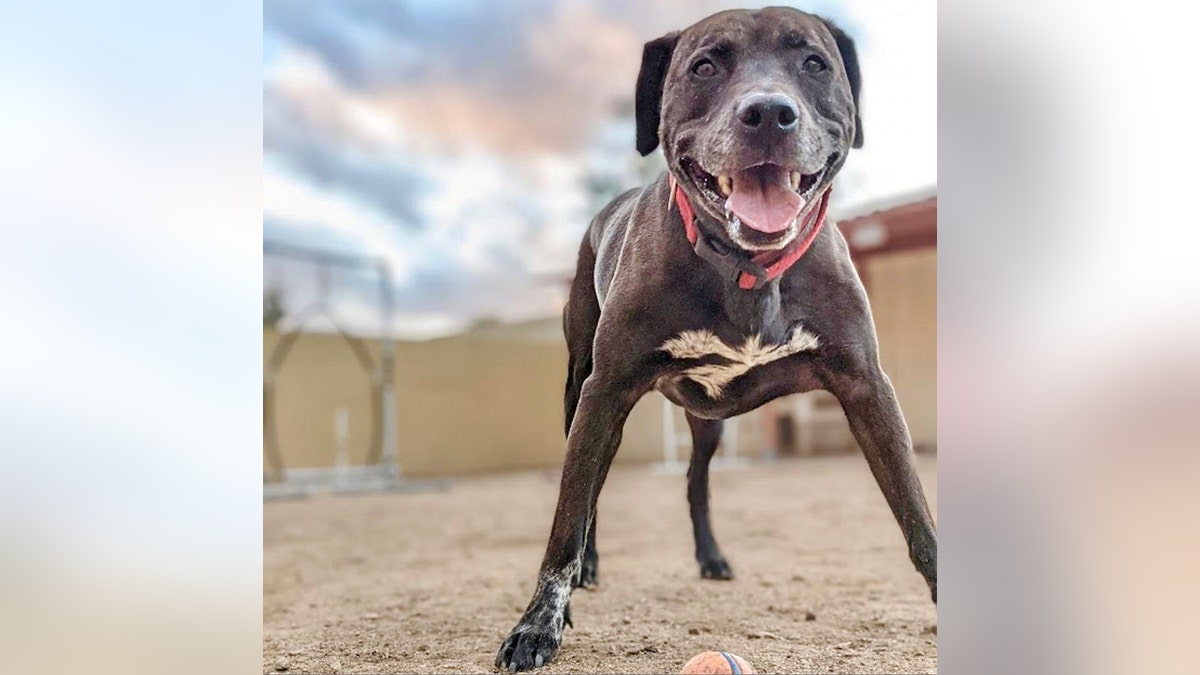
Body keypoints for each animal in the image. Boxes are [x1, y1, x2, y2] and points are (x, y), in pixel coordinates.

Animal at [494, 6, 936, 667]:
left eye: (814, 62)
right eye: (704, 66)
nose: (770, 114)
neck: (747, 268)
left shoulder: (868, 388)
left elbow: (915, 511)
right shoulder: (605, 392)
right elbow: (567, 520)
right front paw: (538, 623)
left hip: (708, 422)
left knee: (695, 485)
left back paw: (711, 557)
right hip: (580, 394)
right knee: (589, 495)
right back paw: (589, 570)